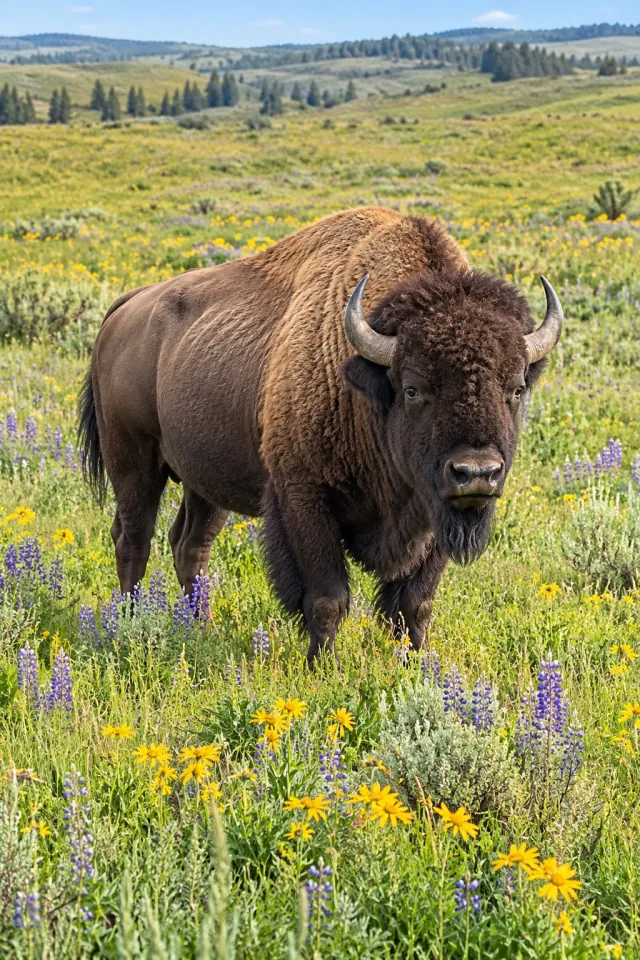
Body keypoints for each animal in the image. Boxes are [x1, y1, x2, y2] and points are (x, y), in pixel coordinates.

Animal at [78, 207, 562, 663]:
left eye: (516, 389)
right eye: (412, 388)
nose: (476, 473)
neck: (363, 384)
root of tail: (126, 309)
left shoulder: (435, 515)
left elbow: (414, 603)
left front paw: (419, 667)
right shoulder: (304, 499)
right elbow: (328, 597)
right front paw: (322, 668)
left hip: (205, 481)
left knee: (190, 545)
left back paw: (201, 629)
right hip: (134, 463)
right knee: (133, 540)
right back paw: (130, 625)